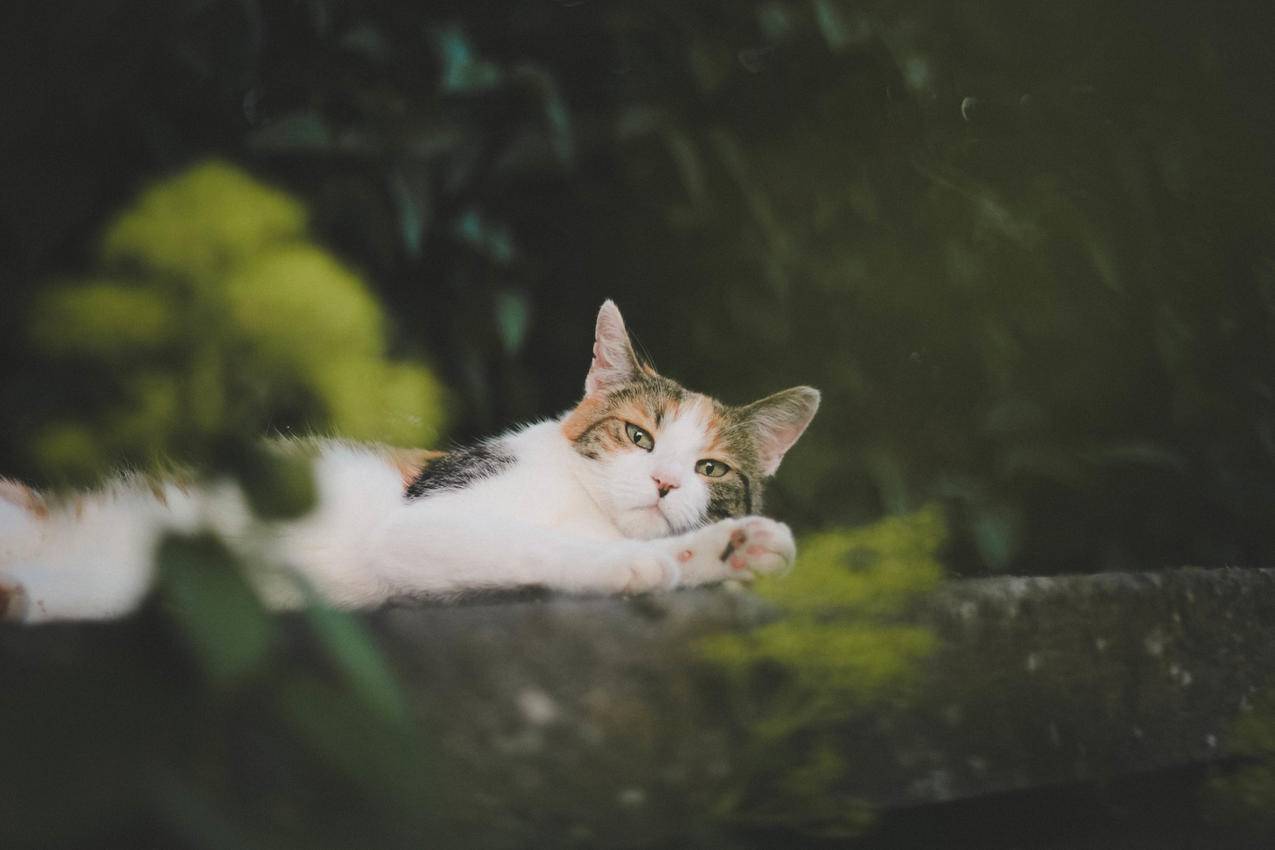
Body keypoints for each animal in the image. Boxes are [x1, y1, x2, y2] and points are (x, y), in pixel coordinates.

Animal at [0, 302, 816, 621]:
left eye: (710, 470)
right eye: (639, 437)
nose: (664, 482)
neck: (589, 508)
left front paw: (733, 548)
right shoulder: (421, 528)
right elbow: (538, 546)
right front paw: (636, 566)